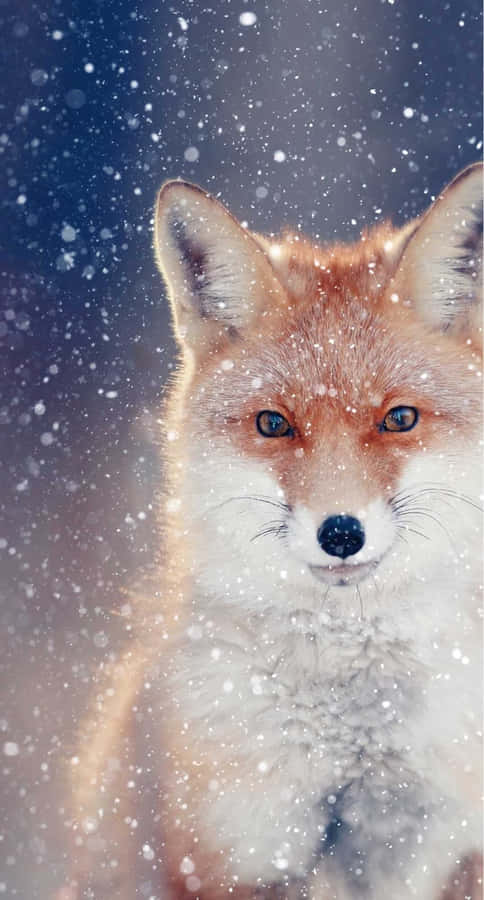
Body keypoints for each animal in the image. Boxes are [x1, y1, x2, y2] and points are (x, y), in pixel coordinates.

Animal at [59, 162, 483, 900]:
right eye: (274, 424)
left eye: (399, 419)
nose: (341, 533)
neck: (351, 735)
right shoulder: (234, 852)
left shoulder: (431, 845)